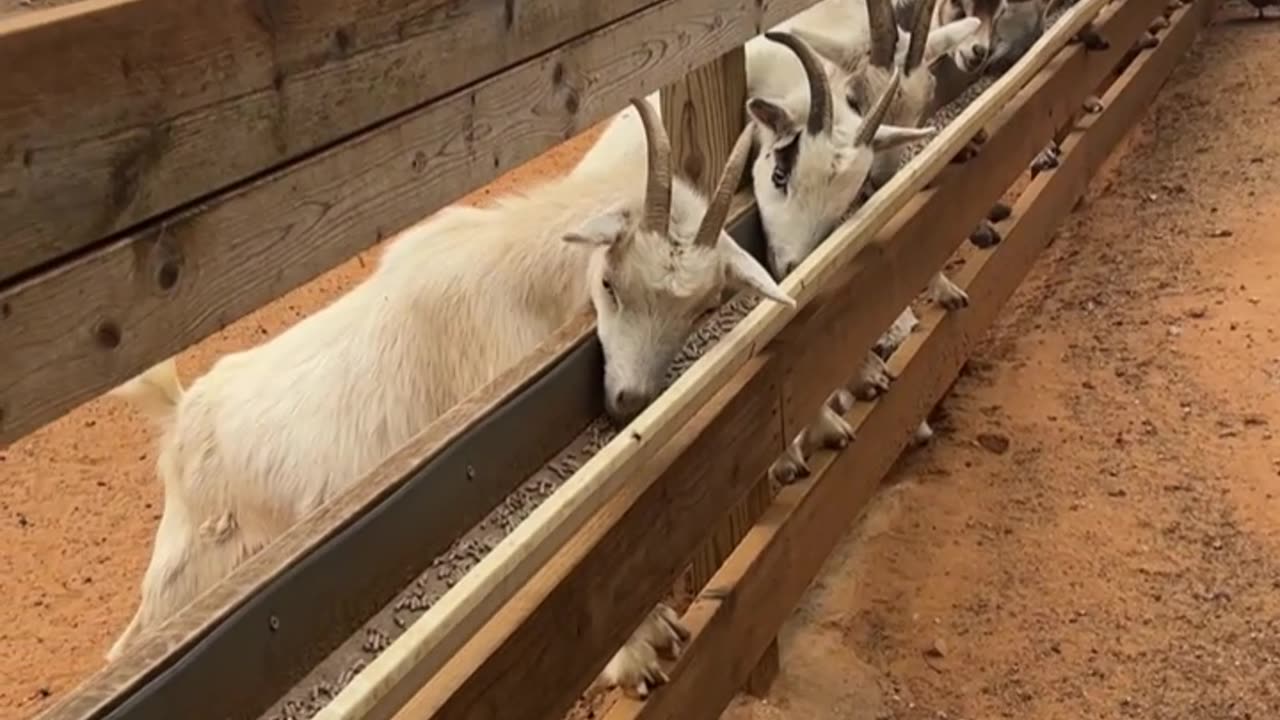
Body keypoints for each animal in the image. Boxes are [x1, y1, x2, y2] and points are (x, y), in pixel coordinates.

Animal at [105, 100, 791, 698]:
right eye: (609, 284)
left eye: (700, 307)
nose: (630, 399)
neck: (519, 283)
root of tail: (183, 413)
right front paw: (633, 657)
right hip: (191, 572)